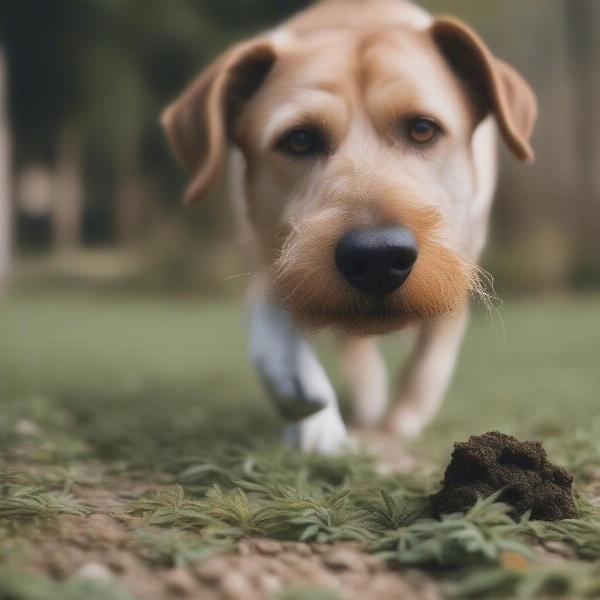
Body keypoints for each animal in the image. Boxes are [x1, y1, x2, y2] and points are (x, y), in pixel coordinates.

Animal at [162, 0, 536, 450]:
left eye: (423, 129)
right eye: (299, 139)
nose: (378, 257)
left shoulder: (458, 266)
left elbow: (428, 364)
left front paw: (398, 425)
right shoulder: (273, 257)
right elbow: (275, 330)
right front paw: (312, 416)